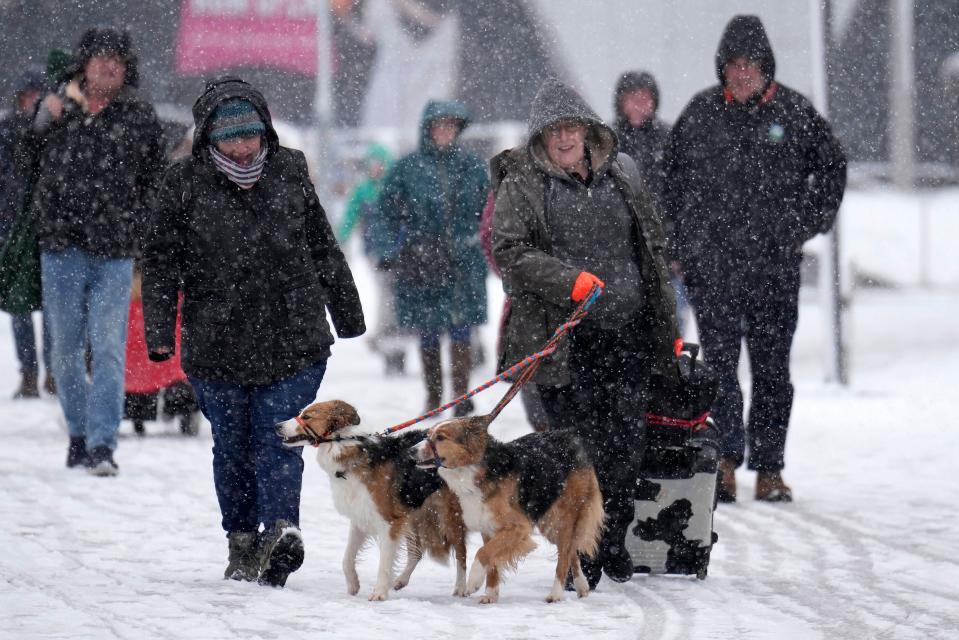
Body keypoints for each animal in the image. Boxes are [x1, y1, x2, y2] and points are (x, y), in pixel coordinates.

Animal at [274, 400, 468, 600]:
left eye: (307, 416)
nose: (276, 426)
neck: (348, 448)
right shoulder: (361, 516)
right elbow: (347, 558)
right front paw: (353, 584)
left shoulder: (390, 522)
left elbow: (384, 562)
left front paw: (379, 593)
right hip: (414, 513)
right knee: (417, 552)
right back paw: (400, 580)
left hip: (450, 516)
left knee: (461, 554)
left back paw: (461, 588)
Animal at [412, 418, 608, 604]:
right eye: (428, 435)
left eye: (440, 438)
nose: (411, 450)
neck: (476, 470)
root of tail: (569, 437)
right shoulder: (488, 527)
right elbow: (491, 559)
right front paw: (490, 595)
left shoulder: (518, 527)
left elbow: (483, 552)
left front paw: (474, 581)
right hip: (547, 521)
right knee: (570, 549)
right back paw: (582, 585)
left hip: (558, 518)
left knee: (565, 553)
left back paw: (556, 593)